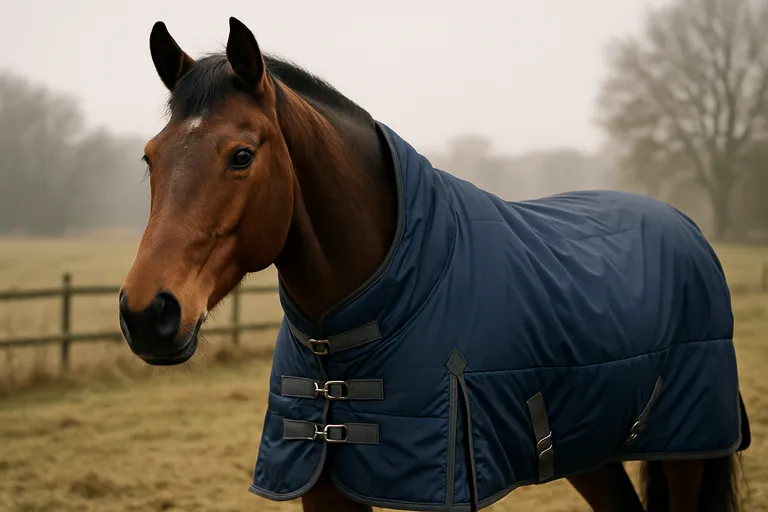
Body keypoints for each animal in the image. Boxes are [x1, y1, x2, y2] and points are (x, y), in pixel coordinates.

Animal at [118, 17, 750, 512]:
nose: (147, 314)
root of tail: (685, 225)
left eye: (242, 155)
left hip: (688, 446)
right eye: (149, 158)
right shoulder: (323, 483)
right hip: (589, 447)